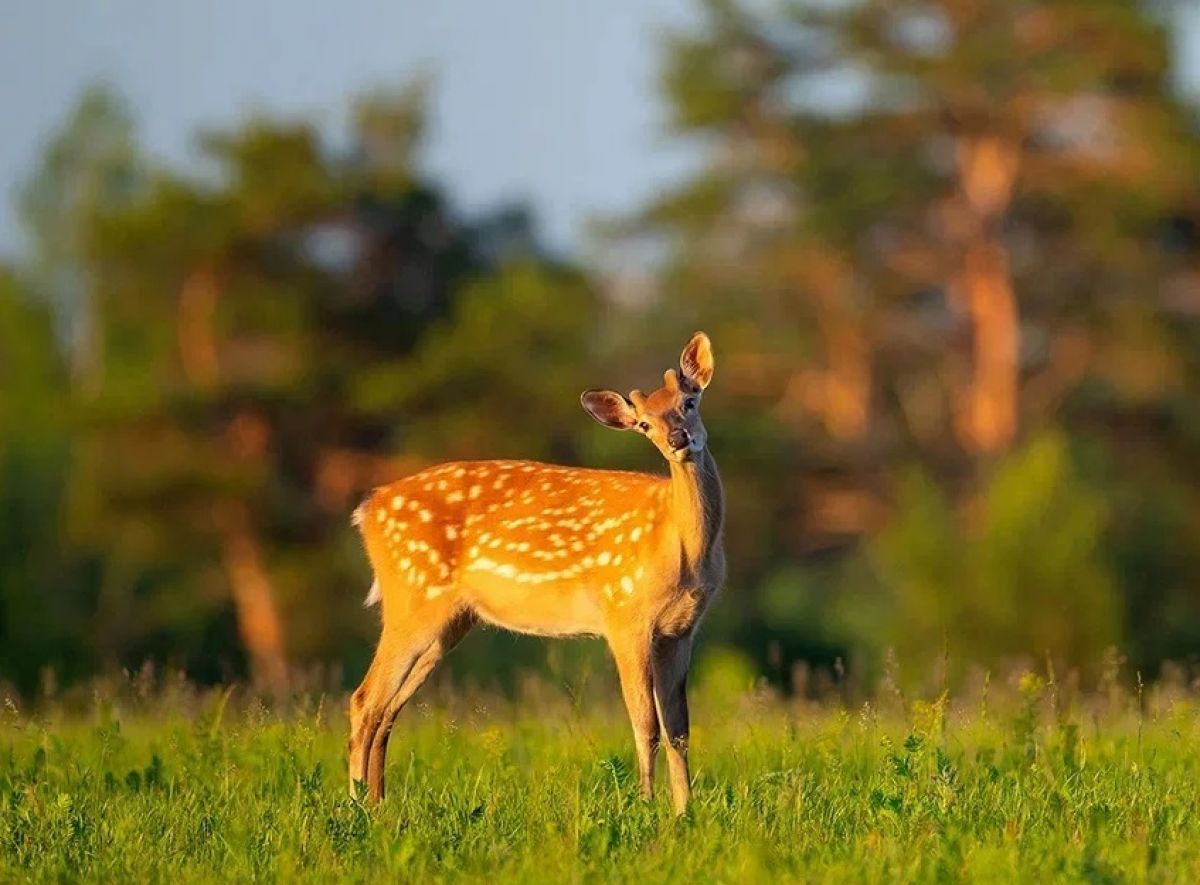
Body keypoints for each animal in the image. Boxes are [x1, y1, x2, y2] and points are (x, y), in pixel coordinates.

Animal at [348, 333, 720, 815]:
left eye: (689, 401)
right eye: (644, 424)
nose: (678, 439)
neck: (684, 548)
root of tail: (366, 511)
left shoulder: (681, 629)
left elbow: (679, 730)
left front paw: (684, 812)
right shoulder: (624, 614)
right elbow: (646, 723)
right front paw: (645, 806)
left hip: (448, 621)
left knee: (388, 708)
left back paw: (378, 804)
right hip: (411, 597)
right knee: (365, 700)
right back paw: (356, 805)